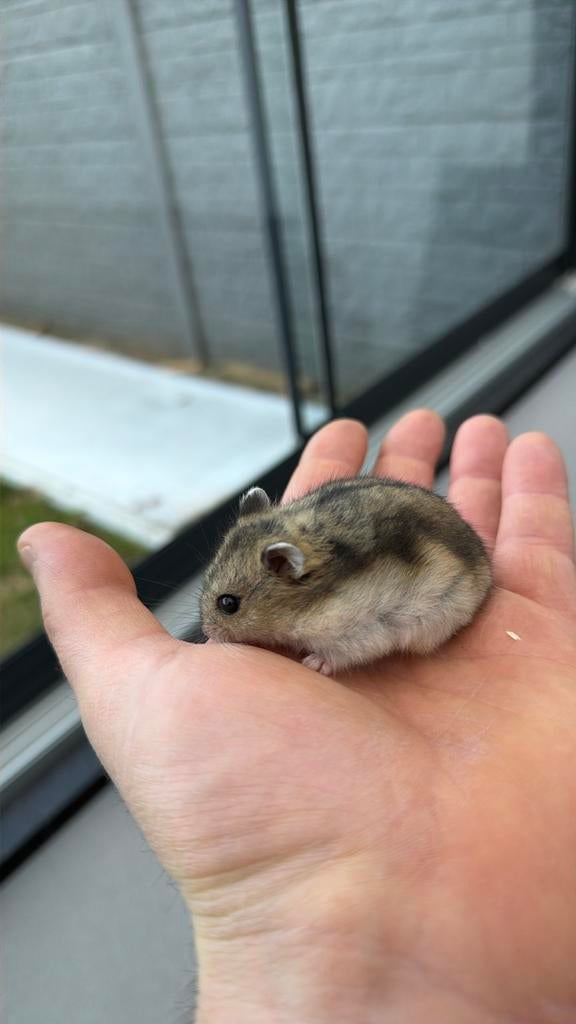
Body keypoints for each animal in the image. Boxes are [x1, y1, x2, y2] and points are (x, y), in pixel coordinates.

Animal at [200, 477, 492, 676]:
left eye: (228, 604)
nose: (206, 631)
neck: (303, 604)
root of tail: (486, 566)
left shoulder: (354, 632)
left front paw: (312, 663)